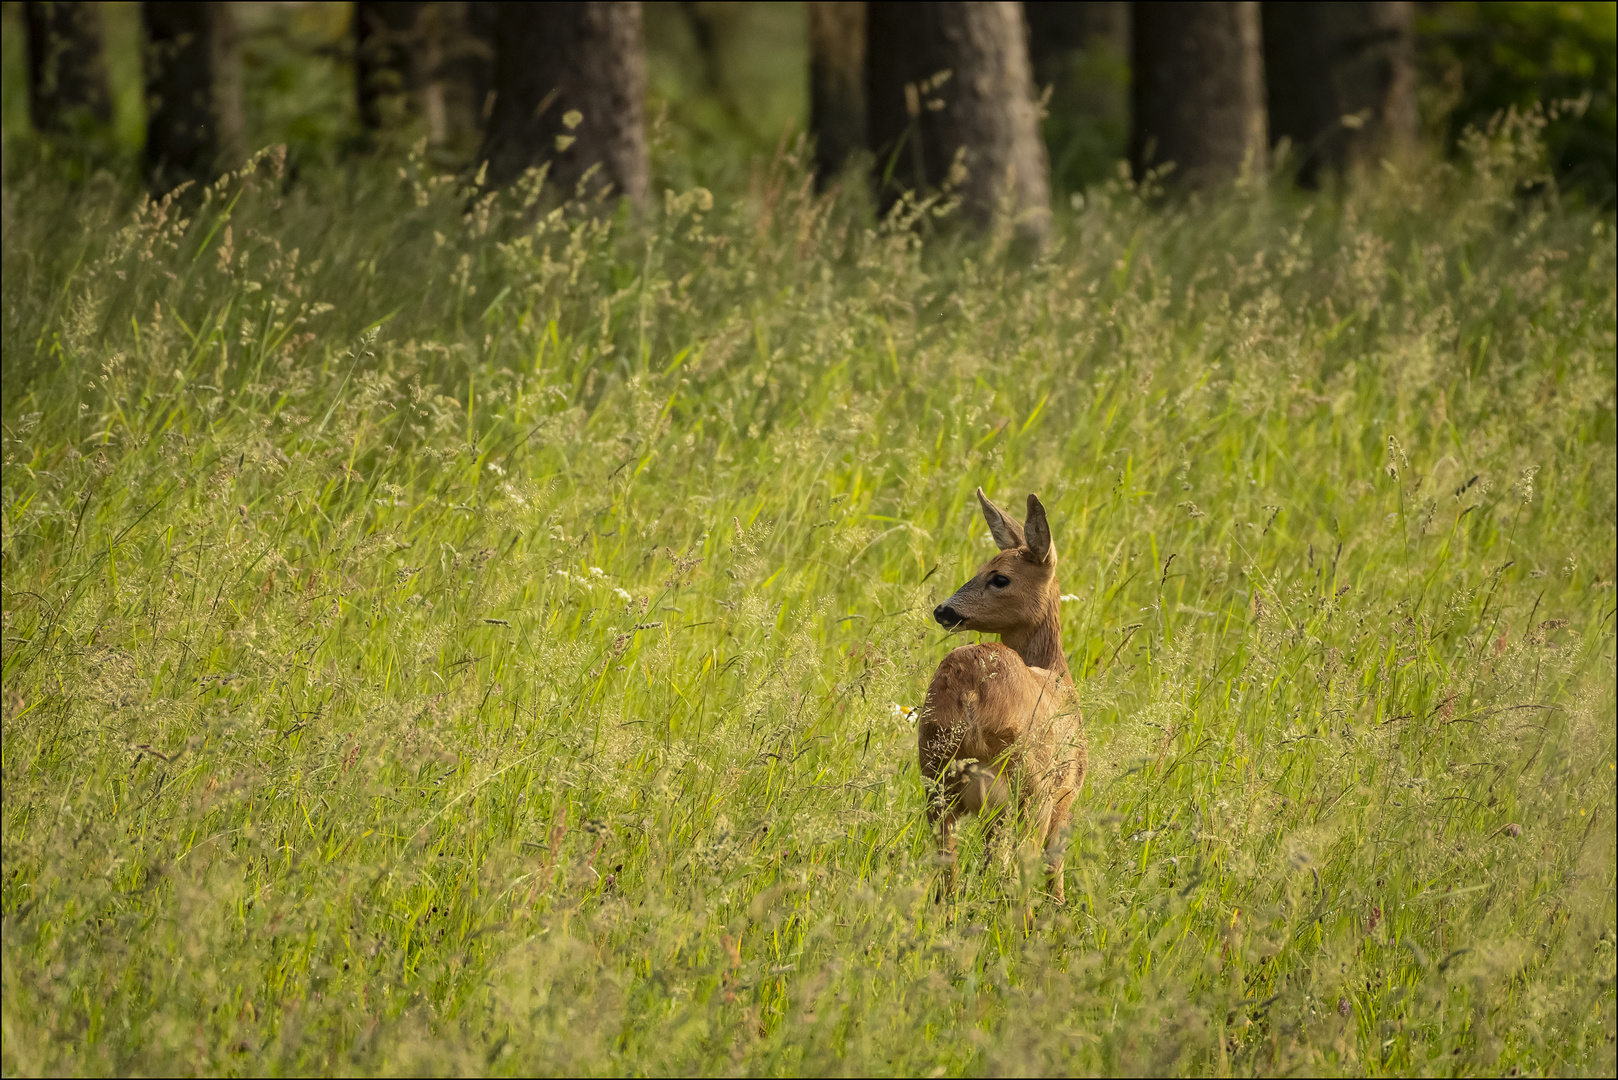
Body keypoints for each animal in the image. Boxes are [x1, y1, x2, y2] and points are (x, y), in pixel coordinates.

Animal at [925, 488, 1087, 906]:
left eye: (998, 576)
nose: (943, 610)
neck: (1056, 673)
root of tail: (972, 693)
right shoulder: (1066, 794)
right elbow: (1054, 869)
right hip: (1029, 787)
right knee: (1025, 866)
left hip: (935, 774)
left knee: (946, 866)